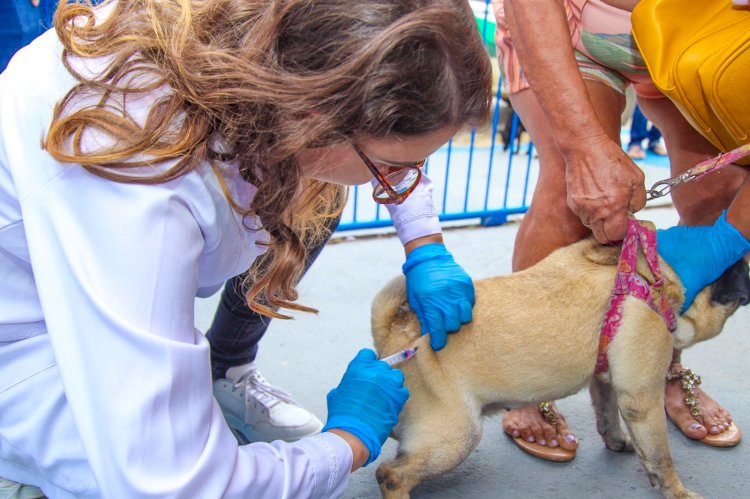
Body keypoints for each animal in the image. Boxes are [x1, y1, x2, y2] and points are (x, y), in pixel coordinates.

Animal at [372, 230, 750, 499]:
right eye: (737, 264)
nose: (746, 266)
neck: (653, 273)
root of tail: (397, 334)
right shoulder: (642, 400)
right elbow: (661, 456)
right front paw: (677, 491)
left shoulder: (605, 381)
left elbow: (607, 415)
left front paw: (618, 441)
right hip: (457, 436)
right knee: (390, 475)